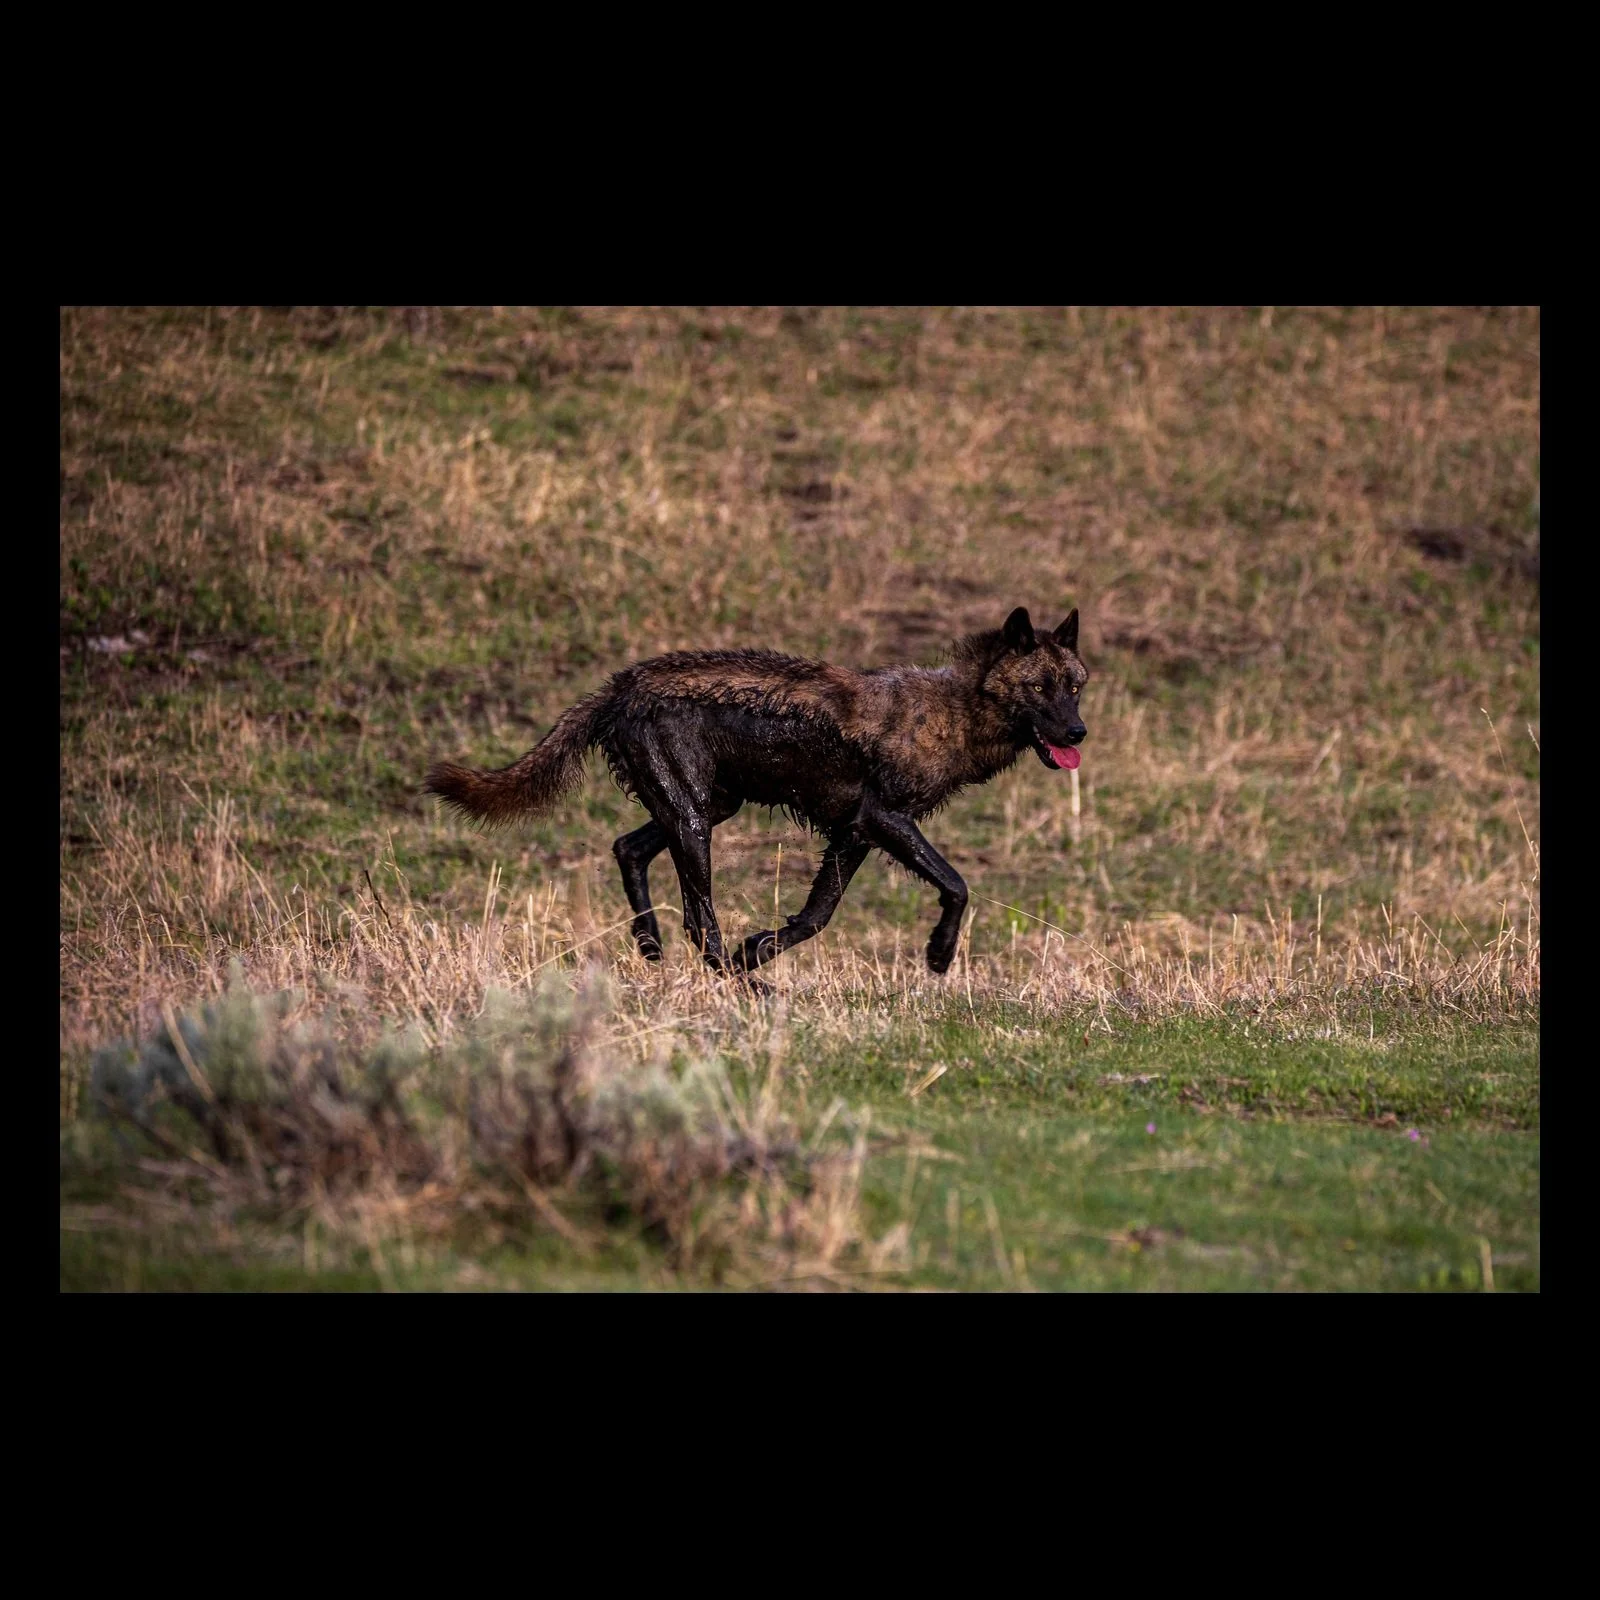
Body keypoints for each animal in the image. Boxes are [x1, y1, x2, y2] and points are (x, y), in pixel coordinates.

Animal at [425, 606, 1088, 979]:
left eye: (1076, 686)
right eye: (1039, 688)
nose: (1079, 733)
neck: (957, 711)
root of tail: (618, 685)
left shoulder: (853, 833)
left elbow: (817, 917)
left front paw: (760, 947)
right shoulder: (885, 819)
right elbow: (957, 884)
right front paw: (939, 956)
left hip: (709, 809)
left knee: (627, 849)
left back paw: (656, 949)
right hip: (696, 824)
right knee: (697, 923)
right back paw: (743, 985)